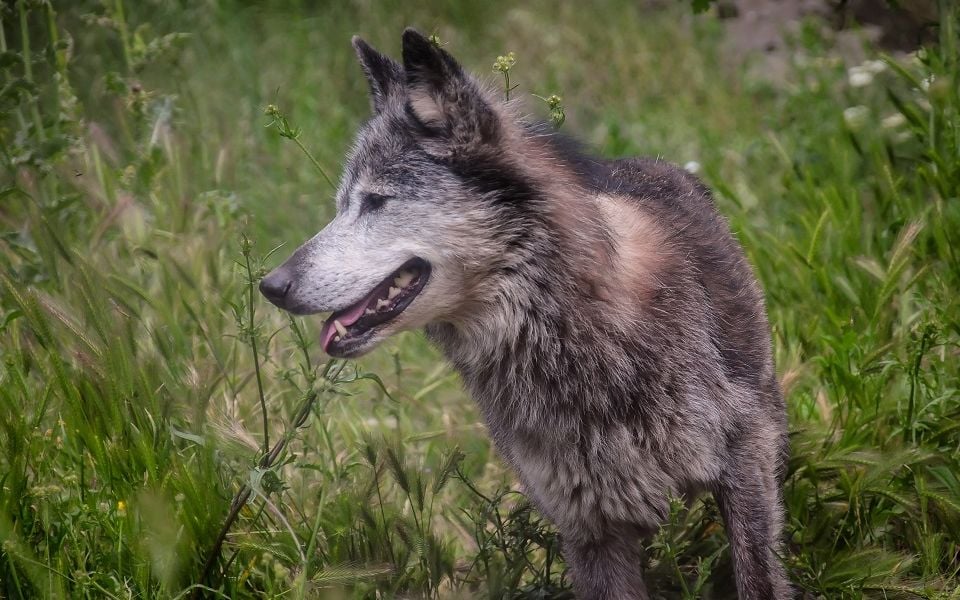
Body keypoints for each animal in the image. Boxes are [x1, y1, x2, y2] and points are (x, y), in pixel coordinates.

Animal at [259, 28, 791, 600]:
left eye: (377, 201)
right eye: (341, 205)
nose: (270, 286)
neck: (573, 339)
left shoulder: (745, 466)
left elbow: (759, 580)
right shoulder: (590, 526)